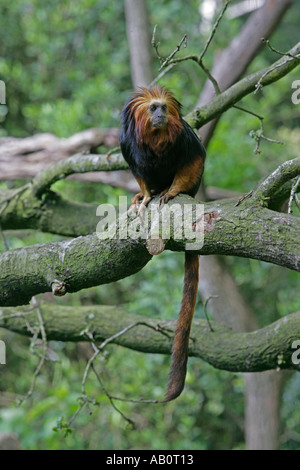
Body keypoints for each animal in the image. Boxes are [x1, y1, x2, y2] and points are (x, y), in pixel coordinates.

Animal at [119, 85, 206, 400]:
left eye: (164, 108)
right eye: (153, 108)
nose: (159, 115)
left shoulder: (183, 138)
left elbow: (194, 158)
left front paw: (172, 191)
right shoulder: (127, 143)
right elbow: (138, 170)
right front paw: (145, 195)